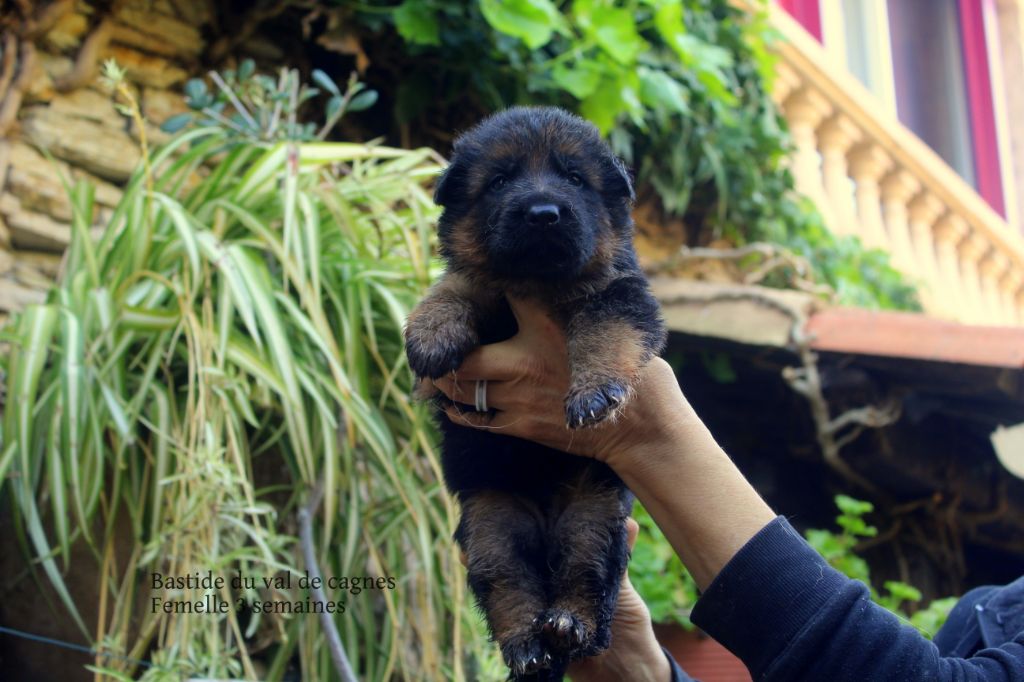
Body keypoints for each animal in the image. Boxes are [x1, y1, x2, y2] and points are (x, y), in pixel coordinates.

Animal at [403, 106, 667, 679]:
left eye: (574, 178)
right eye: (500, 181)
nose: (544, 214)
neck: (538, 285)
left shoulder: (621, 295)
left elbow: (603, 330)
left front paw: (595, 391)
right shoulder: (483, 284)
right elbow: (455, 287)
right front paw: (431, 334)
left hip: (595, 516)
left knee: (587, 576)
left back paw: (569, 624)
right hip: (491, 524)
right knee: (508, 587)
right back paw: (528, 645)